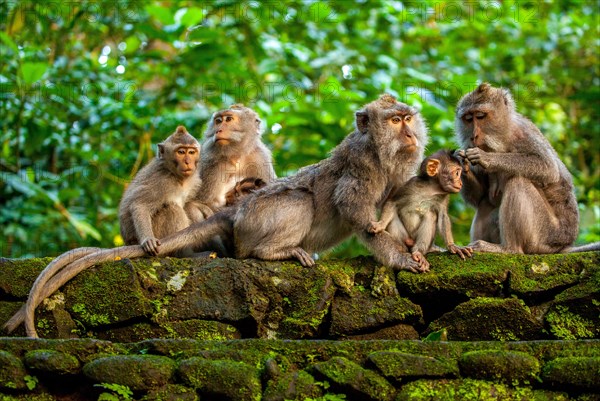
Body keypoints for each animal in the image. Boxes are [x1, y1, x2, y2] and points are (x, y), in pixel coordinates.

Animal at [454, 83, 596, 253]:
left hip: (546, 235)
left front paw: (487, 158)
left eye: (480, 116)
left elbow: (548, 167)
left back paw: (508, 249)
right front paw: (462, 163)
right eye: (468, 119)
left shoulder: (522, 134)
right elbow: (479, 196)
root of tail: (563, 245)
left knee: (518, 181)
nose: (473, 136)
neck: (501, 139)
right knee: (486, 203)